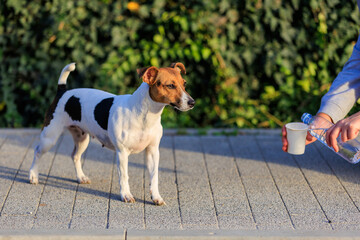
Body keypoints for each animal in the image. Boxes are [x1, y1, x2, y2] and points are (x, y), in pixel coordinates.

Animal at [29, 62, 195, 205]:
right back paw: (33, 176)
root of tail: (63, 91)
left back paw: (81, 177)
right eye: (170, 85)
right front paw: (126, 195)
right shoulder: (122, 153)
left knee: (75, 156)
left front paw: (156, 197)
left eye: (184, 83)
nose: (192, 102)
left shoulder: (153, 151)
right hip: (50, 137)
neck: (144, 115)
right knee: (37, 152)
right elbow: (124, 176)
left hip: (82, 139)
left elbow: (154, 177)